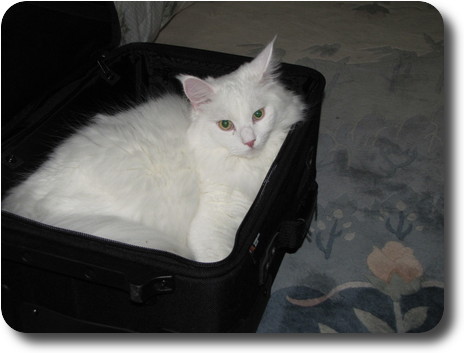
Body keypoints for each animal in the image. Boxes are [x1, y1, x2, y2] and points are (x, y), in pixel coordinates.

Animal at [1, 40, 306, 262]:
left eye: (258, 115)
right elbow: (216, 254)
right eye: (225, 125)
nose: (250, 141)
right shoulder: (212, 221)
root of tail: (23, 207)